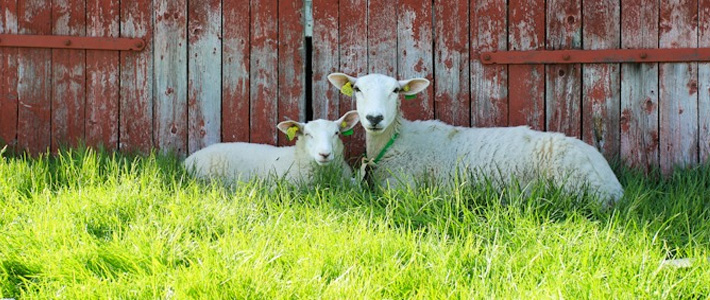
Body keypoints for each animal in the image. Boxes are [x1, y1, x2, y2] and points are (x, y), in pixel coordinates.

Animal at [328, 72, 624, 204]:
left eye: (396, 91)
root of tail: (614, 185)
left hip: (574, 189)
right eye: (357, 88)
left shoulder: (403, 190)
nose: (374, 118)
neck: (397, 140)